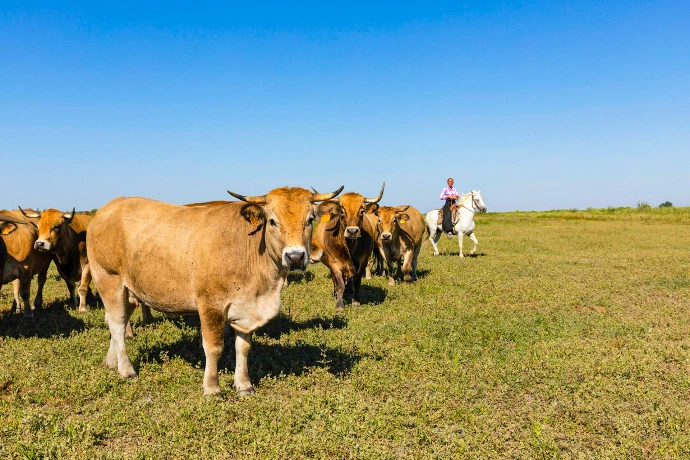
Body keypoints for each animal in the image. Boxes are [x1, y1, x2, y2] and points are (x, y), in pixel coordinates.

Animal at [87, 186, 343, 396]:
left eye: (310, 219)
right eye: (272, 221)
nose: (295, 256)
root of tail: (109, 207)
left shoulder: (246, 308)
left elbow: (243, 347)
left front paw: (244, 385)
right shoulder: (210, 305)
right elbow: (214, 347)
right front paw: (212, 387)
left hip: (130, 290)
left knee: (116, 323)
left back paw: (111, 362)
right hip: (108, 279)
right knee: (118, 324)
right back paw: (126, 369)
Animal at [310, 183, 384, 312]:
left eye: (362, 210)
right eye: (342, 210)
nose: (352, 231)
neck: (349, 246)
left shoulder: (363, 261)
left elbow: (357, 281)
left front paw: (356, 301)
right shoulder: (334, 263)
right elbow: (339, 284)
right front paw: (339, 305)